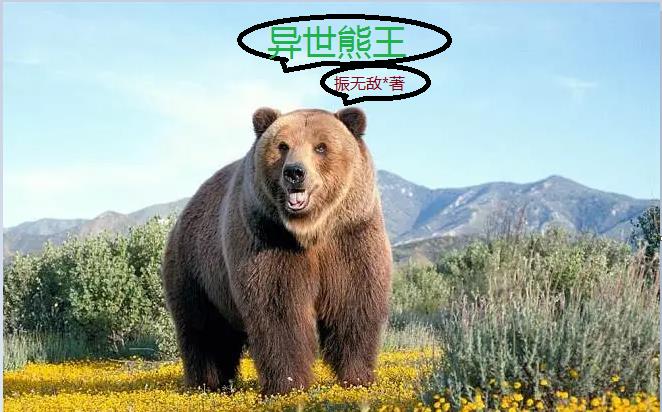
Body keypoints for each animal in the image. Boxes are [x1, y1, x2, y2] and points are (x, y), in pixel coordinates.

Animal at [161, 107, 392, 395]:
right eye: (283, 146)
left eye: (321, 147)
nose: (294, 172)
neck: (311, 231)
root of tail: (184, 212)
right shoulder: (269, 240)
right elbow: (279, 311)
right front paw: (288, 384)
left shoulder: (350, 237)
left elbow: (353, 303)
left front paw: (358, 378)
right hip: (196, 270)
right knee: (203, 330)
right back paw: (207, 384)